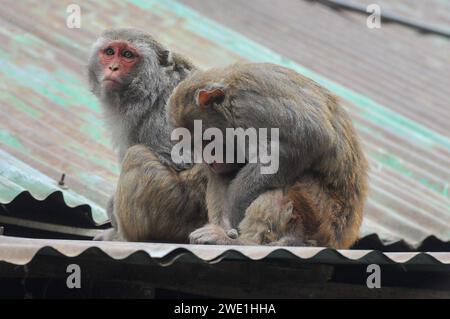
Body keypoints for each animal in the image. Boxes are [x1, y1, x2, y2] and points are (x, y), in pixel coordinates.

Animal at [87, 28, 207, 241]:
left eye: (128, 55)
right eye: (110, 52)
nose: (113, 67)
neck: (153, 88)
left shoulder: (165, 112)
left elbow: (180, 161)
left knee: (137, 155)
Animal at [169, 63, 370, 250]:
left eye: (207, 139)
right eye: (194, 145)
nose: (209, 161)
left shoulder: (252, 106)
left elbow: (312, 137)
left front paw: (237, 205)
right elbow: (222, 176)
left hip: (323, 216)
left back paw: (246, 242)